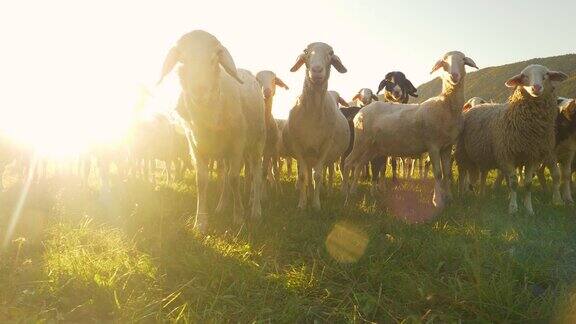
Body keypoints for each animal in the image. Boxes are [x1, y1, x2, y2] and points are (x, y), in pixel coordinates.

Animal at [158, 30, 266, 232]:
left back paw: (256, 210)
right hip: (223, 152)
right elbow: (202, 180)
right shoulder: (195, 145)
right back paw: (222, 205)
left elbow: (234, 178)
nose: (199, 90)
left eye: (214, 58)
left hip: (257, 142)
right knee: (224, 176)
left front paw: (238, 216)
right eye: (183, 59)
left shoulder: (237, 144)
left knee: (255, 173)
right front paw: (200, 222)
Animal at [284, 41, 352, 209]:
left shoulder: (325, 146)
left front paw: (316, 205)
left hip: (331, 156)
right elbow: (303, 176)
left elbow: (319, 176)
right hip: (309, 154)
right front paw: (302, 204)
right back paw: (309, 193)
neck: (313, 113)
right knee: (309, 173)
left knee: (329, 172)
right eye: (306, 51)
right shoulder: (298, 146)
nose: (316, 70)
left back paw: (328, 192)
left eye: (331, 53)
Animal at [344, 50, 480, 208]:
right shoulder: (433, 145)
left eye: (463, 60)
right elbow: (438, 173)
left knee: (360, 164)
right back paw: (345, 192)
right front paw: (437, 201)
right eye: (443, 63)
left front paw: (449, 198)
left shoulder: (447, 146)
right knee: (348, 162)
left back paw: (354, 192)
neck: (445, 105)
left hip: (372, 147)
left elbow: (446, 173)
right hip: (361, 141)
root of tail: (360, 112)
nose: (454, 76)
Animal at [456, 64, 568, 214]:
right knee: (462, 173)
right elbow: (513, 183)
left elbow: (528, 184)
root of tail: (476, 106)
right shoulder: (507, 155)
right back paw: (462, 194)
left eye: (546, 75)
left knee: (483, 173)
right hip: (463, 153)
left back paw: (482, 194)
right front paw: (513, 208)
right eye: (524, 76)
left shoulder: (532, 156)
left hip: (484, 154)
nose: (536, 87)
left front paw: (528, 209)